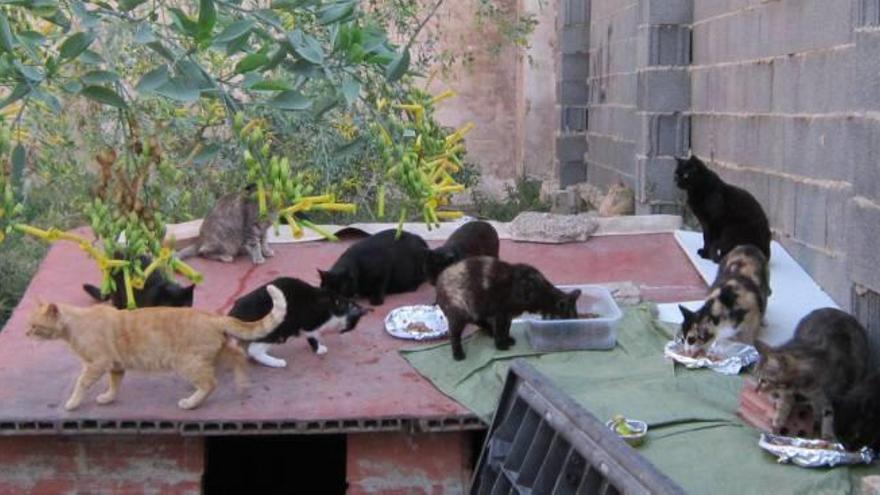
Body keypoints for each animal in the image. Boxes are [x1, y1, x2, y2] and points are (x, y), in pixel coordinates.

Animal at [25, 284, 288, 412]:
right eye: (28, 325)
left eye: (35, 327)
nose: (25, 334)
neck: (75, 325)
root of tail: (212, 317)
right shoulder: (115, 366)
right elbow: (114, 384)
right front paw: (108, 398)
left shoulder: (96, 364)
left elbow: (80, 384)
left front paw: (72, 403)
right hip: (216, 352)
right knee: (237, 355)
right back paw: (243, 384)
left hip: (188, 363)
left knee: (210, 383)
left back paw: (190, 403)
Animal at [229, 280, 370, 368]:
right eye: (352, 325)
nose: (344, 332)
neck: (334, 306)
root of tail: (233, 314)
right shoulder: (311, 322)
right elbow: (313, 336)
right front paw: (319, 349)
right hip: (278, 330)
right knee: (254, 350)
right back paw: (277, 362)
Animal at [434, 256, 584, 360]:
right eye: (568, 320)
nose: (574, 331)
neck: (539, 292)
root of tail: (439, 281)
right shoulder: (500, 313)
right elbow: (501, 330)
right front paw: (501, 345)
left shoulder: (509, 315)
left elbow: (506, 329)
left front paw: (507, 339)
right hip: (460, 315)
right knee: (454, 335)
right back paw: (458, 354)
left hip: (476, 311)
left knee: (480, 323)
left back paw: (489, 332)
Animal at [752, 308, 868, 440]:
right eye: (757, 377)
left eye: (764, 380)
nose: (755, 390)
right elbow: (786, 400)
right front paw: (780, 417)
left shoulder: (833, 394)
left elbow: (829, 414)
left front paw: (828, 436)